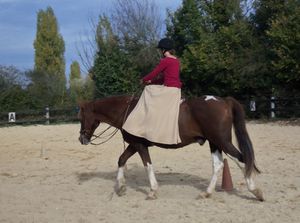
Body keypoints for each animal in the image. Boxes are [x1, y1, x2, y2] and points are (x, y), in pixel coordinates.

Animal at [78, 93, 264, 201]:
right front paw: (121, 187)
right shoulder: (134, 144)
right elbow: (121, 159)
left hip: (222, 141)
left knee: (243, 159)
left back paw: (255, 191)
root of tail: (224, 101)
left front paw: (152, 191)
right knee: (218, 165)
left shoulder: (139, 145)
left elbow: (147, 165)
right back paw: (207, 192)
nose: (82, 138)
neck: (128, 111)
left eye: (81, 117)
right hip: (214, 143)